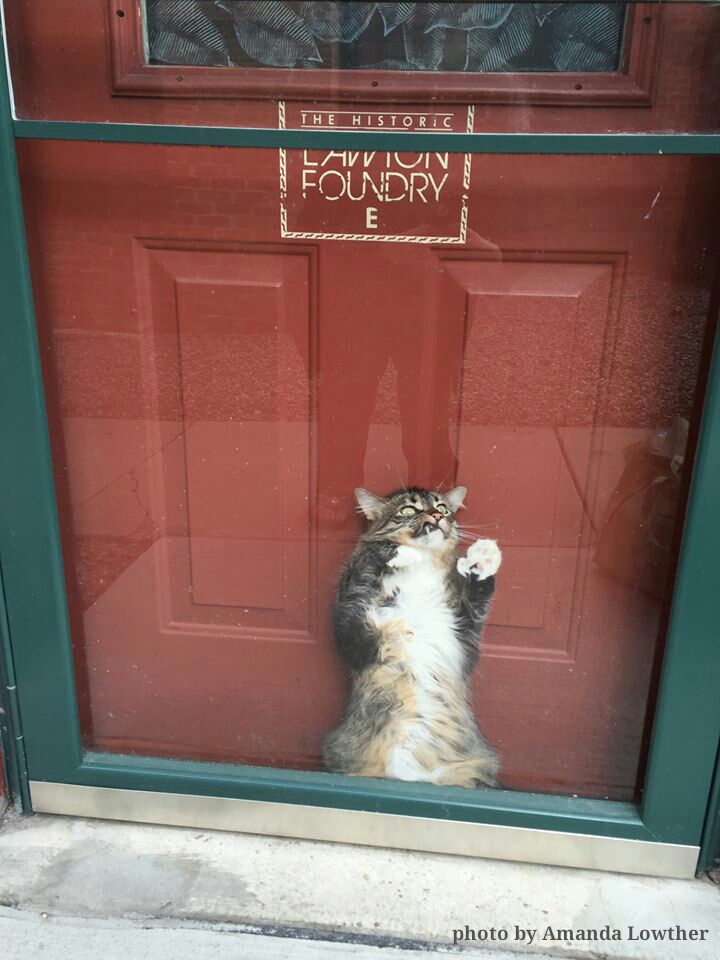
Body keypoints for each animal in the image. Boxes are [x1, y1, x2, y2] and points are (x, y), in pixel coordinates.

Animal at [324, 484, 500, 792]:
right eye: (408, 510)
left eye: (442, 508)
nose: (436, 516)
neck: (421, 574)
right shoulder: (357, 637)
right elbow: (364, 564)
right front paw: (399, 552)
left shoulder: (465, 638)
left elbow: (478, 597)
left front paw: (483, 558)